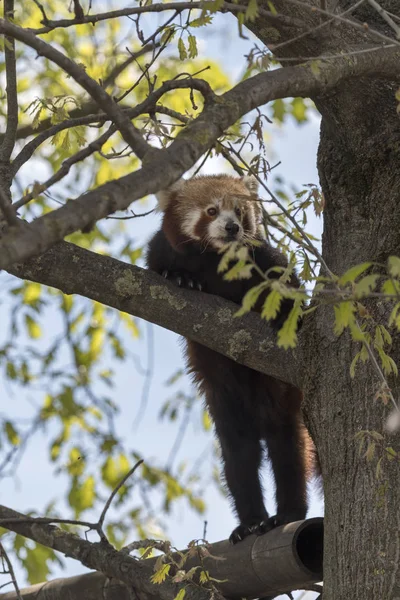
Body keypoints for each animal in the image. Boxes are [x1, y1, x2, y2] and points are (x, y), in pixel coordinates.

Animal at [147, 173, 316, 544]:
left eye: (239, 210)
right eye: (211, 210)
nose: (232, 227)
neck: (217, 261)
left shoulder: (264, 258)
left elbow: (288, 285)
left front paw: (286, 316)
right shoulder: (163, 250)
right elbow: (159, 267)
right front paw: (181, 278)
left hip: (280, 392)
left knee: (287, 446)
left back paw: (288, 514)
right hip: (224, 398)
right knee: (239, 454)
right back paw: (251, 522)